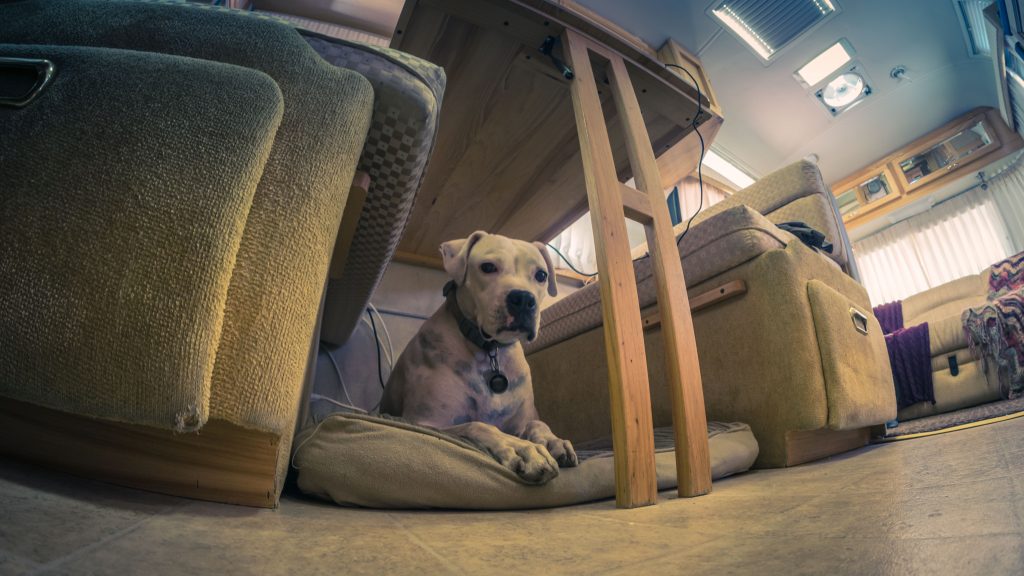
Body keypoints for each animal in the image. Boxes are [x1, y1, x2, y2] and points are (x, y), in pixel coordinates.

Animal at [382, 230, 577, 481]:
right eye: (488, 267)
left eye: (541, 275)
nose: (524, 299)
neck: (490, 351)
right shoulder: (426, 422)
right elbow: (477, 425)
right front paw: (522, 449)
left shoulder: (521, 420)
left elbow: (536, 422)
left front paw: (554, 440)